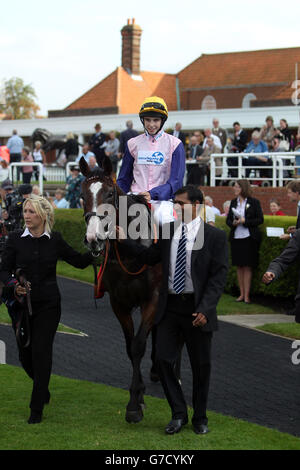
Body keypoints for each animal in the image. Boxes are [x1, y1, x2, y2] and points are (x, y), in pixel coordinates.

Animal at [78, 156, 161, 424]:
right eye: (82, 195)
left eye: (109, 192)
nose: (93, 238)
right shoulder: (119, 302)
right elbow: (129, 347)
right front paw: (139, 397)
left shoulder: (152, 298)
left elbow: (138, 345)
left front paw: (134, 406)